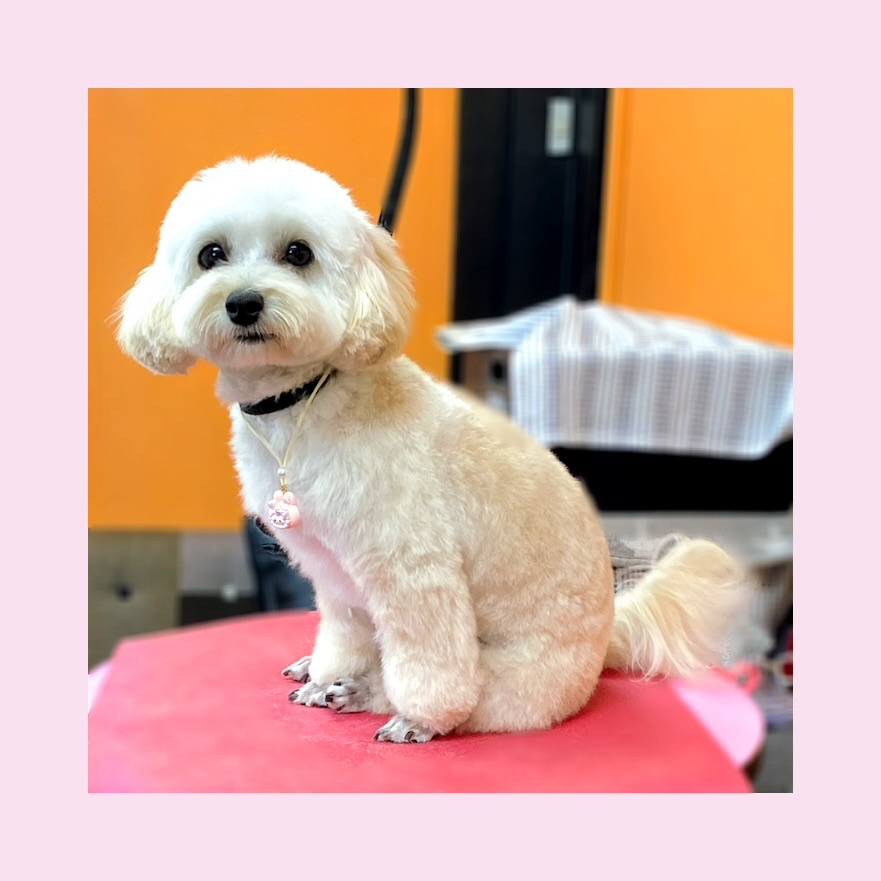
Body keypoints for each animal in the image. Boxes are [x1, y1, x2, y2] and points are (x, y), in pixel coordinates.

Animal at [116, 155, 746, 743]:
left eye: (298, 252)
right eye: (211, 255)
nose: (244, 303)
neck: (304, 402)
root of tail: (606, 641)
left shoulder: (413, 567)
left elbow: (428, 660)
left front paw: (419, 717)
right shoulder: (332, 572)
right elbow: (345, 634)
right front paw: (328, 672)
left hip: (521, 680)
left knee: (475, 696)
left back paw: (371, 697)